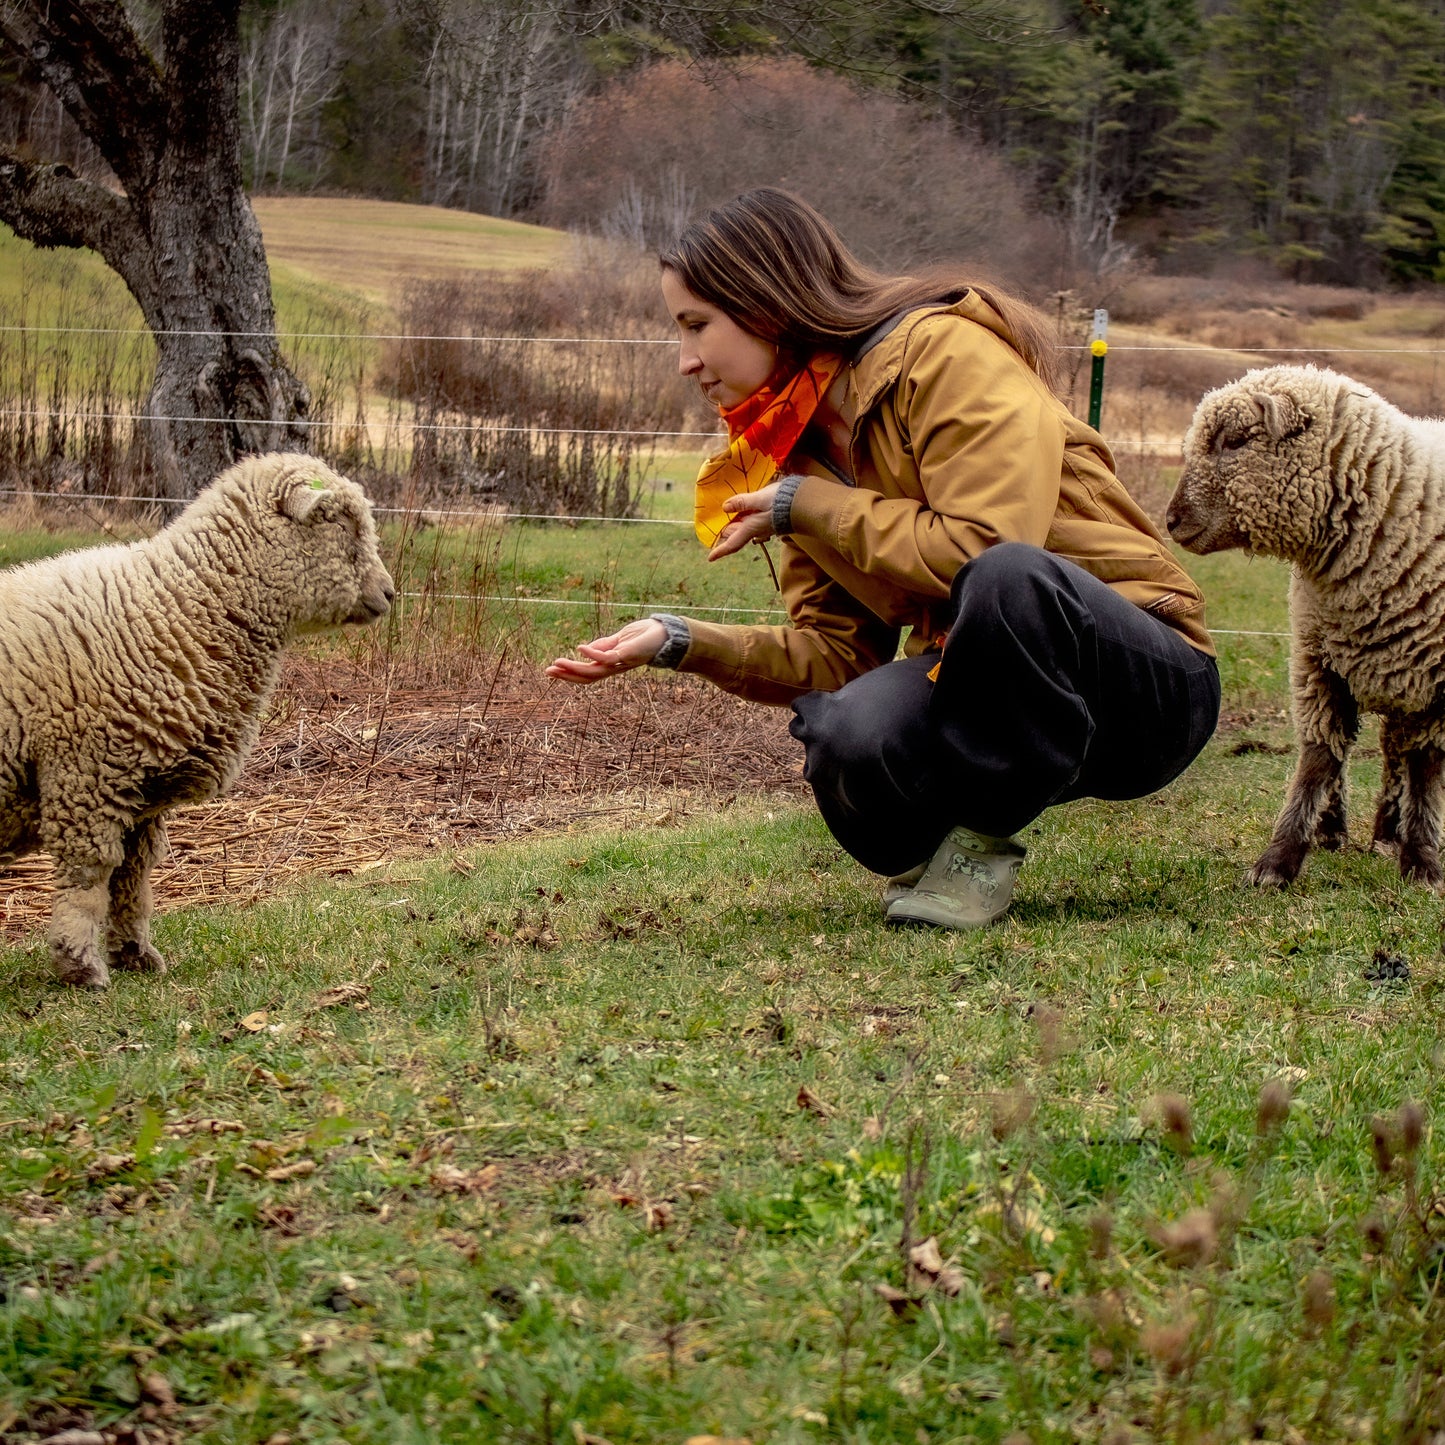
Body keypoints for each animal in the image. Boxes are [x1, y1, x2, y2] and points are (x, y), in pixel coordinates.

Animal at [0, 453, 395, 987]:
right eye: (338, 521)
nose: (390, 593)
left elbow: (133, 877)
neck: (178, 608)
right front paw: (80, 965)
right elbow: (90, 878)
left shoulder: (139, 792)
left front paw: (136, 954)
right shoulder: (85, 775)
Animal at [1166, 363, 1445, 889]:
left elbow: (1425, 767)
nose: (1171, 520)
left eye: (1235, 441)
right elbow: (1319, 758)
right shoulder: (1318, 662)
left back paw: (1391, 834)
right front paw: (1280, 858)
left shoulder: (1432, 676)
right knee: (1381, 747)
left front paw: (1421, 862)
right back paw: (1352, 831)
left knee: (1399, 751)